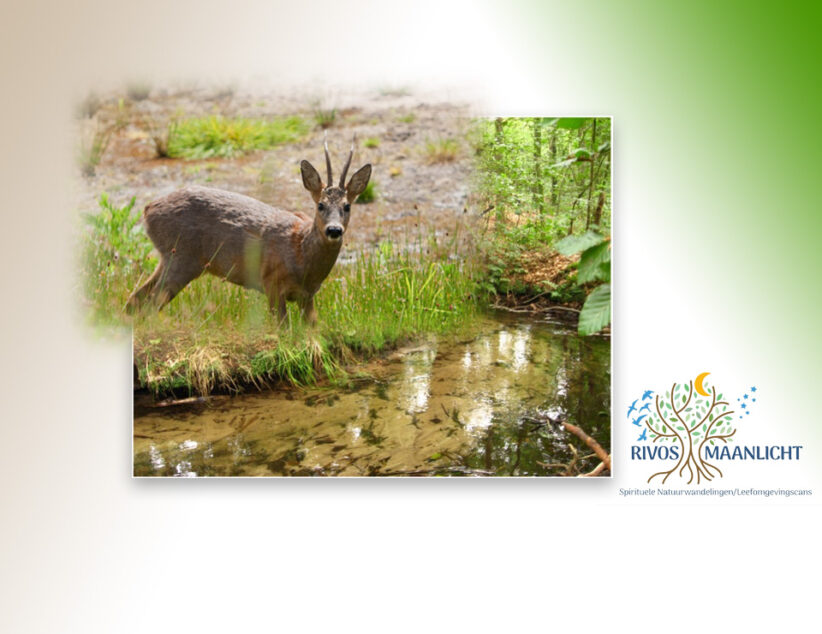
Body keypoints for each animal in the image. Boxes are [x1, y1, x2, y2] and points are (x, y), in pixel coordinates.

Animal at [126, 139, 374, 326]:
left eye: (347, 206)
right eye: (320, 205)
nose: (334, 230)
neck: (302, 257)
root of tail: (148, 209)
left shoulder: (308, 296)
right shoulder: (272, 283)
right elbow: (282, 329)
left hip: (169, 258)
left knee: (135, 299)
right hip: (182, 257)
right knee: (151, 302)